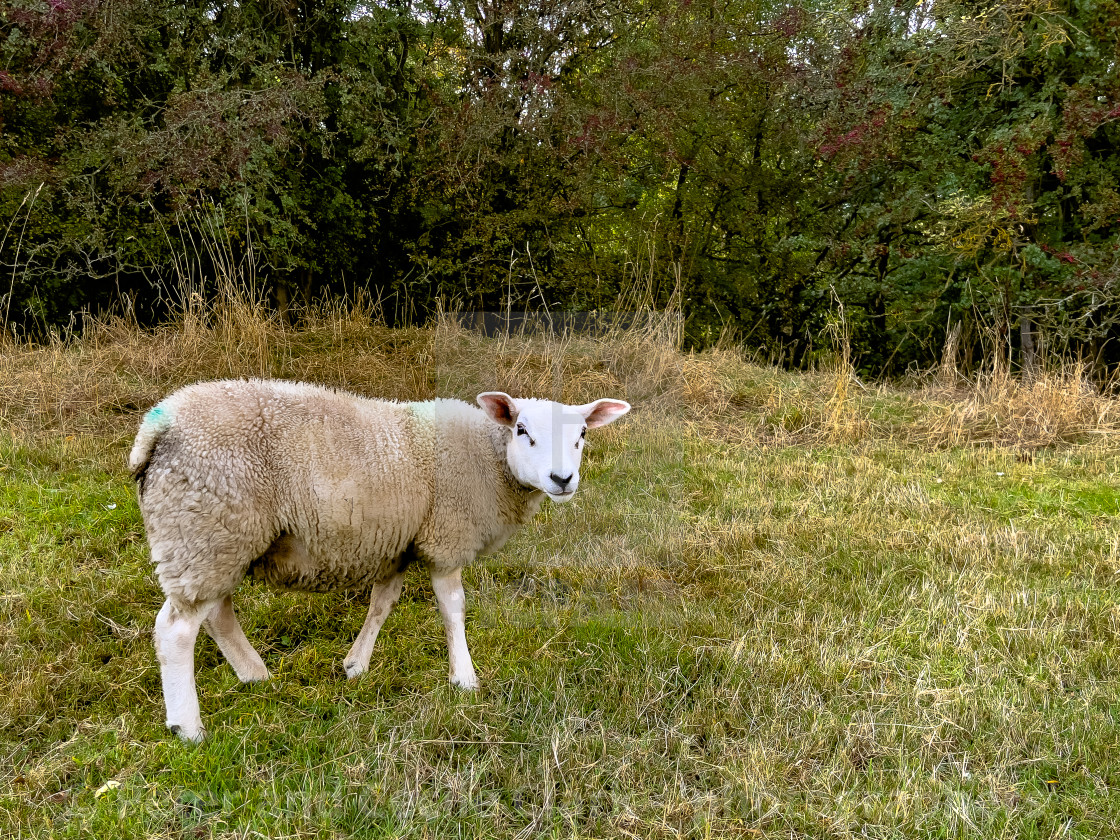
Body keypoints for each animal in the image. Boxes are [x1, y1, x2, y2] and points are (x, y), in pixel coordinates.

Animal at [131, 380, 631, 743]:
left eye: (582, 435)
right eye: (523, 431)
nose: (562, 479)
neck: (490, 460)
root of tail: (158, 426)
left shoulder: (396, 546)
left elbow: (381, 604)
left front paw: (356, 665)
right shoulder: (446, 538)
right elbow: (453, 608)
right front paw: (464, 679)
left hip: (214, 539)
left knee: (217, 613)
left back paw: (255, 675)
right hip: (204, 528)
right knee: (176, 630)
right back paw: (188, 727)